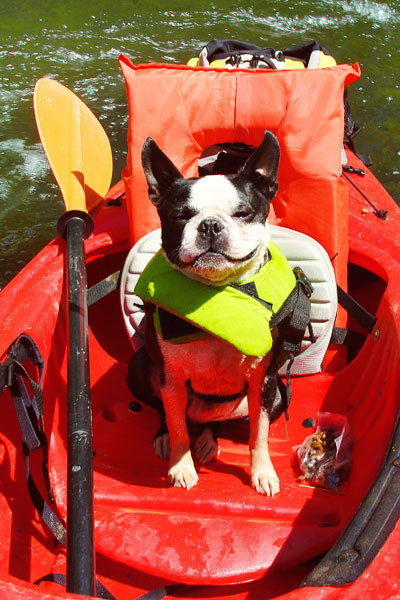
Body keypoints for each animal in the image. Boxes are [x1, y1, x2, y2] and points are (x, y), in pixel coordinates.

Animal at [130, 131, 294, 496]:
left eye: (243, 213)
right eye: (180, 216)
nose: (209, 225)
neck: (216, 292)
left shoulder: (265, 382)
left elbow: (259, 433)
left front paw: (262, 472)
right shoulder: (172, 380)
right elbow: (178, 427)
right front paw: (181, 467)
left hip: (276, 396)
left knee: (220, 424)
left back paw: (208, 439)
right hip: (140, 370)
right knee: (167, 413)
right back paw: (168, 437)